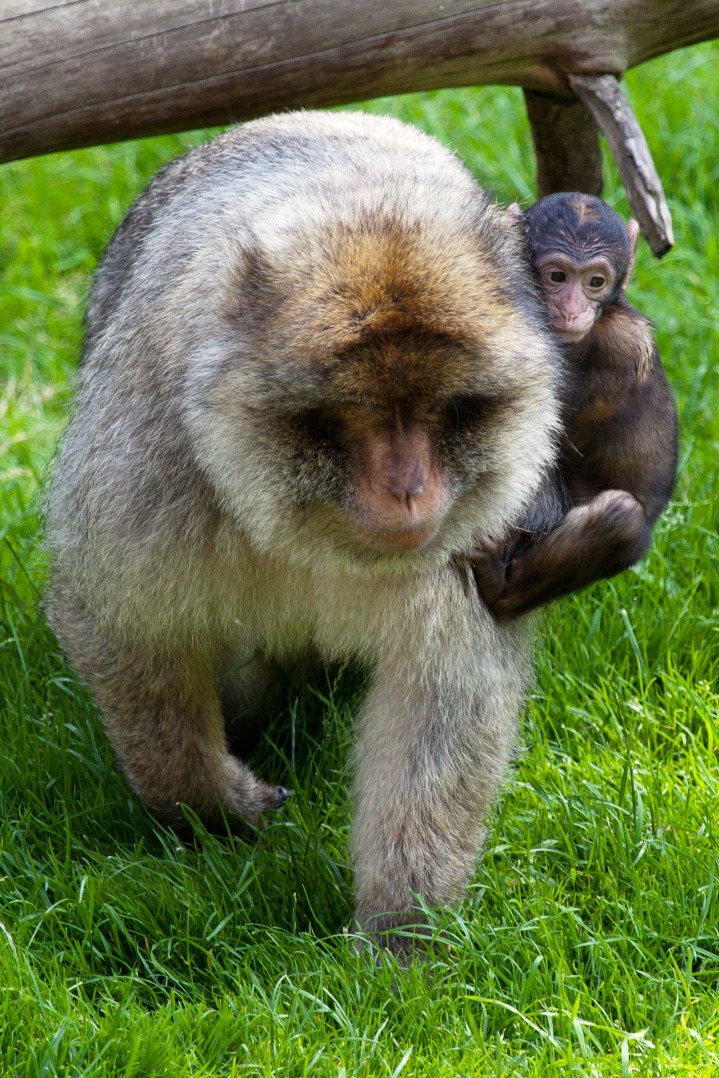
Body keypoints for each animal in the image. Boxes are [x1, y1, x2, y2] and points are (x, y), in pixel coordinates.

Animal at [45, 110, 562, 953]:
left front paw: (399, 934)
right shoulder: (148, 470)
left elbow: (444, 695)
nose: (408, 486)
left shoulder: (470, 540)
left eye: (445, 410)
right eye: (354, 416)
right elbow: (121, 626)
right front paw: (205, 802)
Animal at [470, 192, 678, 619]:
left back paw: (501, 589)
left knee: (620, 520)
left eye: (595, 281)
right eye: (557, 277)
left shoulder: (619, 350)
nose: (571, 308)